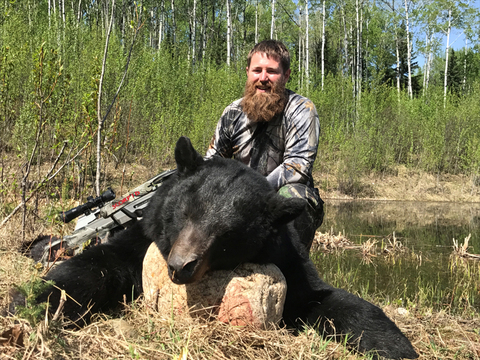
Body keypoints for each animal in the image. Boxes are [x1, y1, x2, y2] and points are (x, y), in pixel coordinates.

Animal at [34, 136, 416, 358]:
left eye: (227, 234)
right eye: (185, 211)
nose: (180, 266)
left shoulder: (287, 260)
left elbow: (330, 301)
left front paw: (395, 346)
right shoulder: (142, 238)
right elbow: (98, 266)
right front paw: (41, 302)